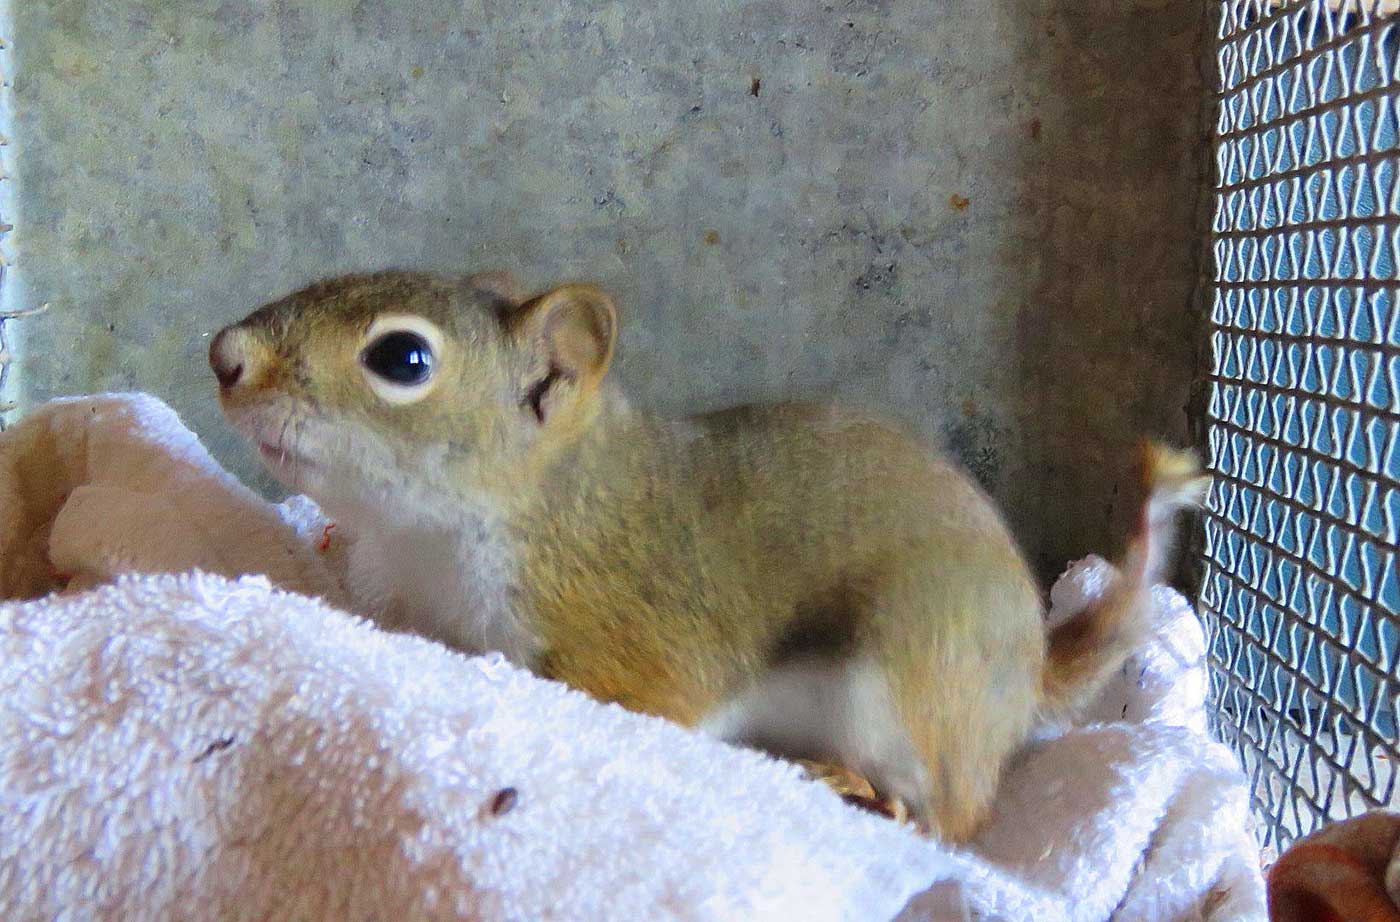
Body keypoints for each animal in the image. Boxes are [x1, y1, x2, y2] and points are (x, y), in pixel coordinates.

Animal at [204, 268, 1204, 845]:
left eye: (402, 359)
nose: (224, 353)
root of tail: (1026, 676)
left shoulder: (626, 633)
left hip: (912, 669)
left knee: (957, 819)